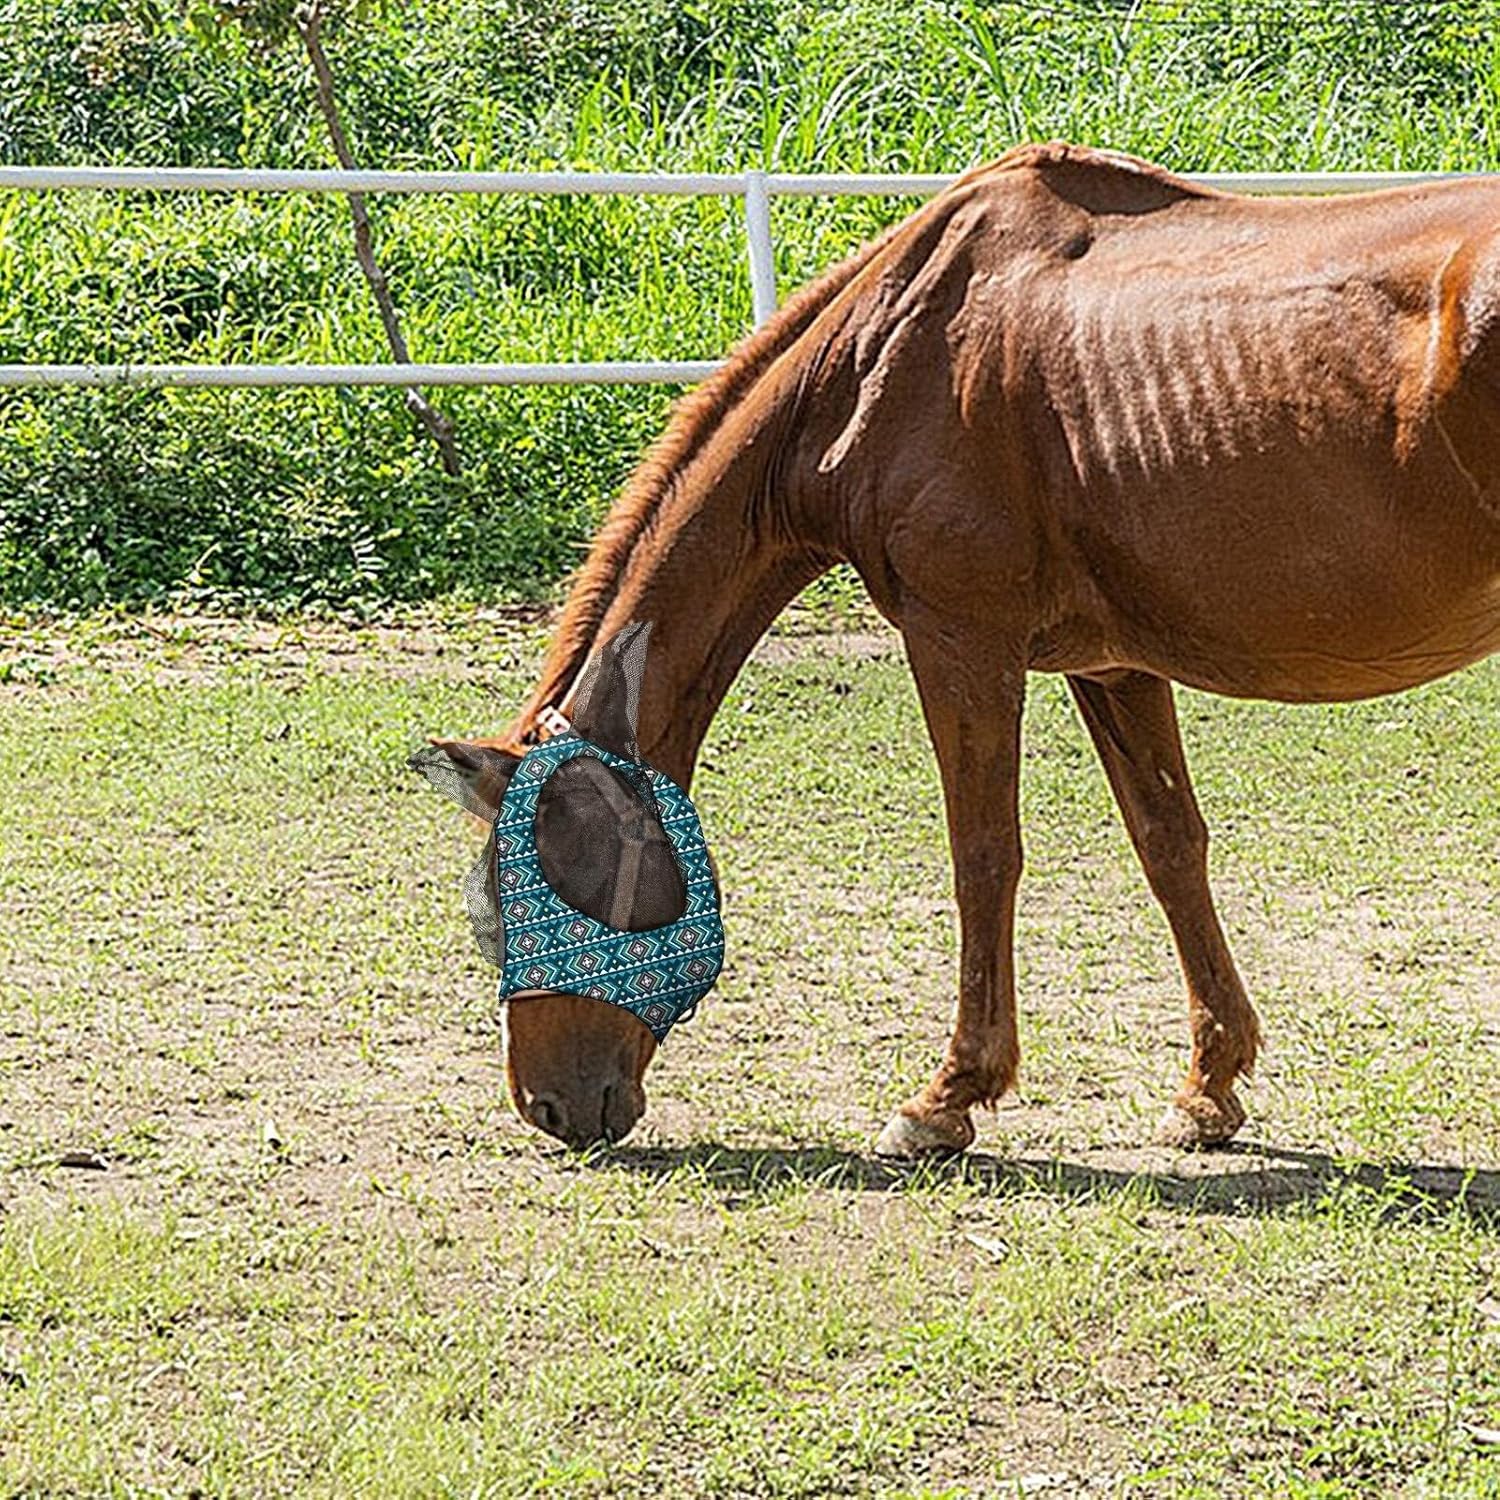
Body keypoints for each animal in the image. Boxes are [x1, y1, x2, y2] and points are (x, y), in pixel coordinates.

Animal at [422, 141, 1500, 1156]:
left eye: (520, 884)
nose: (549, 1106)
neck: (884, 360)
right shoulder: (1115, 665)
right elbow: (1170, 846)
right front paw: (1209, 1087)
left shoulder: (961, 643)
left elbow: (983, 856)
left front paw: (946, 1100)